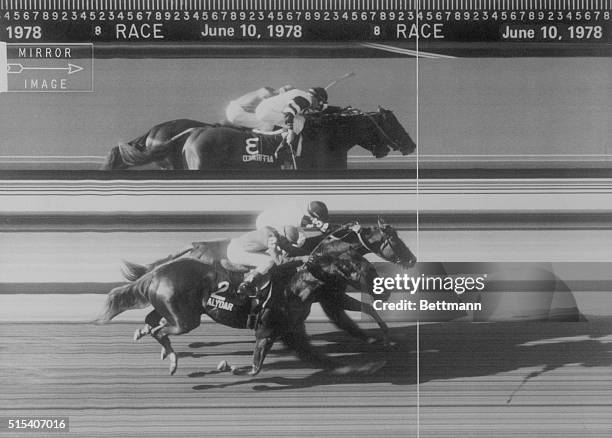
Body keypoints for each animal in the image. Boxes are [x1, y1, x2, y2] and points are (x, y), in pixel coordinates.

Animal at [98, 221, 418, 374]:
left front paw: (383, 338)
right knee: (161, 322)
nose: (412, 260)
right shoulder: (330, 298)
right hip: (188, 312)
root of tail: (195, 246)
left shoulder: (327, 298)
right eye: (394, 239)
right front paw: (380, 338)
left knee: (153, 317)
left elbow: (363, 312)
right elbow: (353, 316)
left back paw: (149, 336)